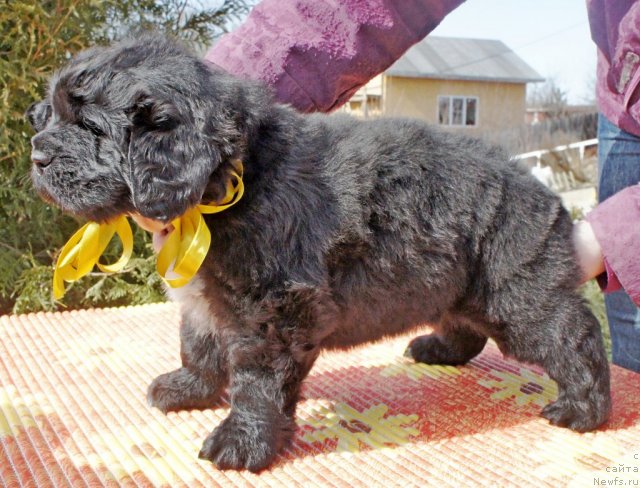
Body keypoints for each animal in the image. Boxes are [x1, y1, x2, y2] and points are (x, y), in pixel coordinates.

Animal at [28, 33, 608, 468]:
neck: (234, 179)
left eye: (91, 127)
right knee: (467, 323)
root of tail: (545, 190)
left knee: (572, 333)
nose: (35, 155)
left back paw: (585, 409)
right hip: (457, 285)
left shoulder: (274, 312)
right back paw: (440, 349)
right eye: (50, 117)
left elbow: (256, 380)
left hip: (516, 292)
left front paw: (243, 441)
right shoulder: (210, 298)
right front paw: (189, 388)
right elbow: (198, 343)